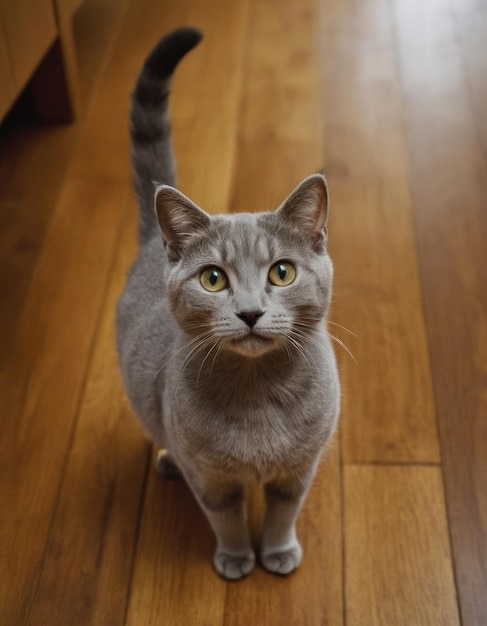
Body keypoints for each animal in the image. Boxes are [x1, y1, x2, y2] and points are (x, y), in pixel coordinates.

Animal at [117, 28, 342, 576]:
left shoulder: (300, 467)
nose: (250, 311)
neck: (257, 391)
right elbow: (226, 516)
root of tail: (152, 239)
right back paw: (167, 461)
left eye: (282, 272)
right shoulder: (211, 478)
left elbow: (284, 511)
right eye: (213, 279)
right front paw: (237, 558)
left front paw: (278, 554)